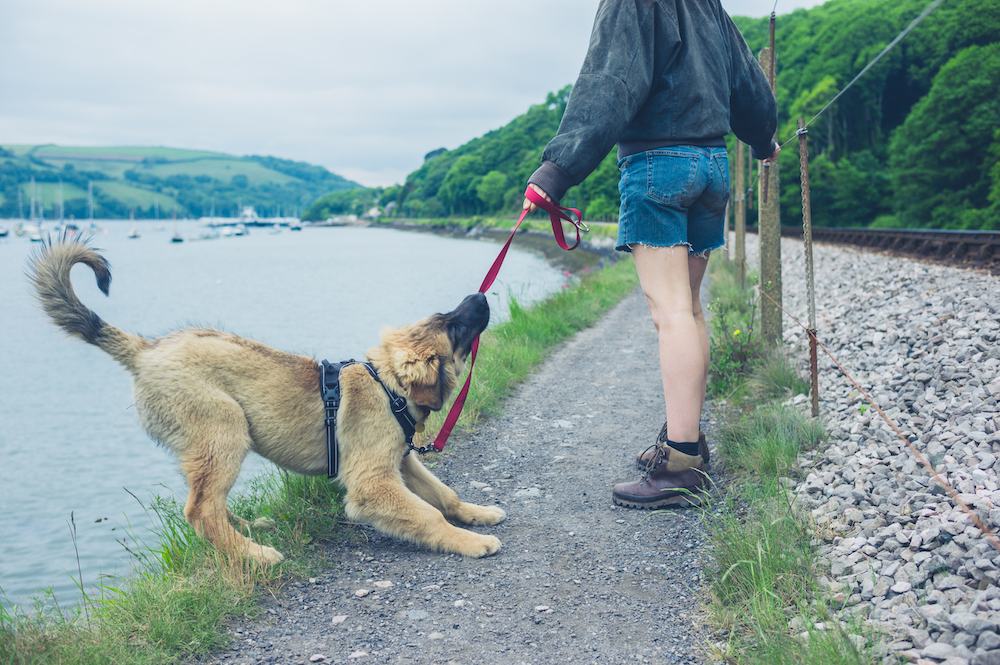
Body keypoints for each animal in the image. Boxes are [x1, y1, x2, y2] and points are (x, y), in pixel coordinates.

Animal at [27, 236, 504, 564]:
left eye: (445, 317)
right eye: (454, 327)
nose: (480, 295)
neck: (388, 387)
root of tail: (145, 350)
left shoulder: (402, 463)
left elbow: (444, 496)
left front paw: (476, 514)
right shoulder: (373, 481)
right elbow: (428, 515)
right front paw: (471, 542)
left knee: (209, 504)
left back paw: (250, 530)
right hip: (224, 427)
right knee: (200, 510)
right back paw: (253, 555)